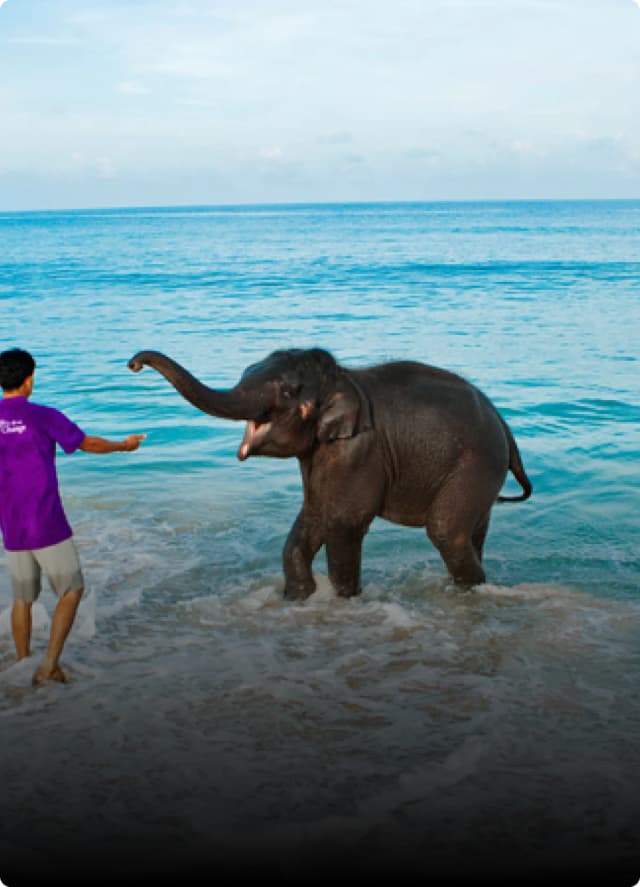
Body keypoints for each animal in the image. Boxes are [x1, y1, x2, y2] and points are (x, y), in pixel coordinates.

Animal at [128, 347, 532, 598]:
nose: (133, 365)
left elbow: (342, 522)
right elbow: (311, 517)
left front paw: (344, 601)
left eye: (287, 392)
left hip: (477, 463)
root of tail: (504, 426)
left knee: (446, 530)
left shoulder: (359, 450)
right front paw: (298, 599)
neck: (339, 378)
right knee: (473, 531)